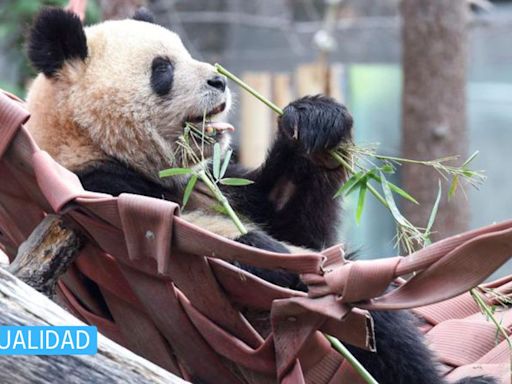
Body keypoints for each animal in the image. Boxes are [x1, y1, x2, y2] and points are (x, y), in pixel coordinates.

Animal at [25, 6, 496, 384]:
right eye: (163, 69)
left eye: (185, 52)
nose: (219, 81)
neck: (86, 139)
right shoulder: (98, 187)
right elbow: (209, 247)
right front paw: (275, 259)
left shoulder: (216, 181)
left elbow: (289, 218)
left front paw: (315, 122)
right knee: (367, 317)